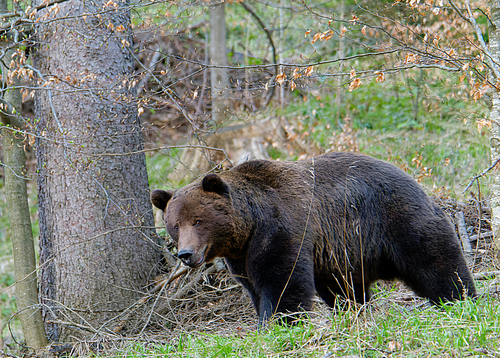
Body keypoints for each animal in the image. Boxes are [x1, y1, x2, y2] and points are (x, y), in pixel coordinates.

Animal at [151, 151, 476, 324]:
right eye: (175, 225)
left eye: (198, 220)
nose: (185, 254)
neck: (249, 227)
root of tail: (414, 181)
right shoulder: (241, 256)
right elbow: (253, 286)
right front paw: (264, 319)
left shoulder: (281, 228)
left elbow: (282, 281)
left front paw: (279, 321)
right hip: (346, 251)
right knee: (345, 288)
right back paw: (353, 311)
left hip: (396, 218)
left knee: (434, 260)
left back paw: (460, 296)